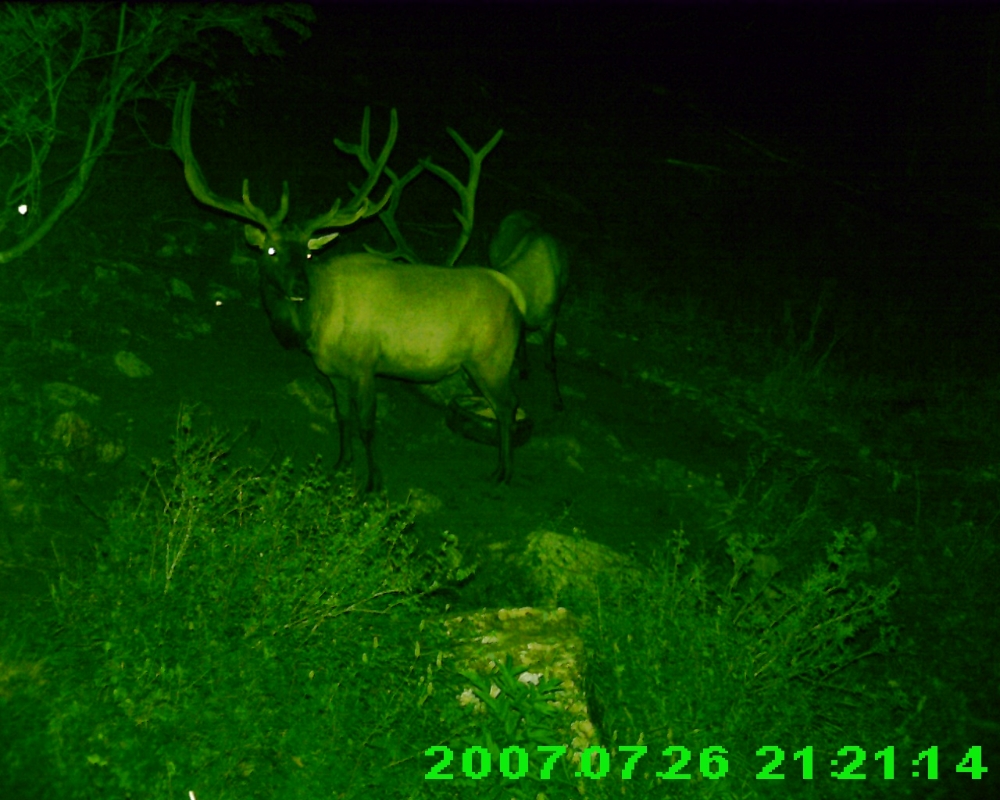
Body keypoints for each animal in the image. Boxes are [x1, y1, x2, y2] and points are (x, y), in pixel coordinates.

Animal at [173, 84, 528, 490]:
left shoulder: (365, 364)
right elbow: (341, 418)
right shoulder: (331, 371)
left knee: (508, 406)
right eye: (271, 250)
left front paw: (372, 481)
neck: (316, 324)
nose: (300, 286)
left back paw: (503, 471)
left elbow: (367, 425)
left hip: (492, 358)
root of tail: (514, 294)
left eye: (307, 254)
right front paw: (341, 464)